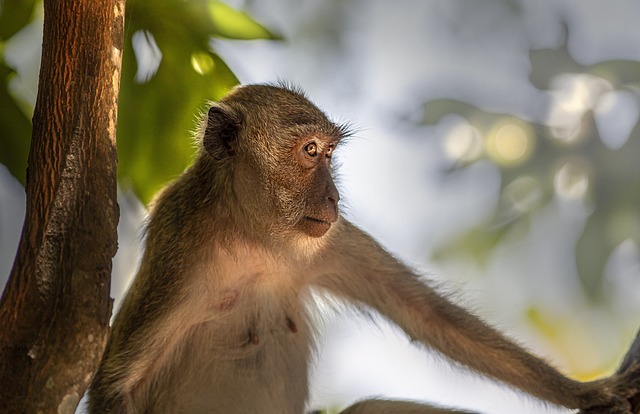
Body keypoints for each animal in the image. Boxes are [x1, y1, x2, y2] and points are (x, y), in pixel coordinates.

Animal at [90, 84, 640, 414]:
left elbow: (426, 315)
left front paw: (588, 392)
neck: (254, 237)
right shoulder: (183, 248)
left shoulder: (326, 241)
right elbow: (117, 384)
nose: (334, 197)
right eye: (310, 151)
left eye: (330, 154)